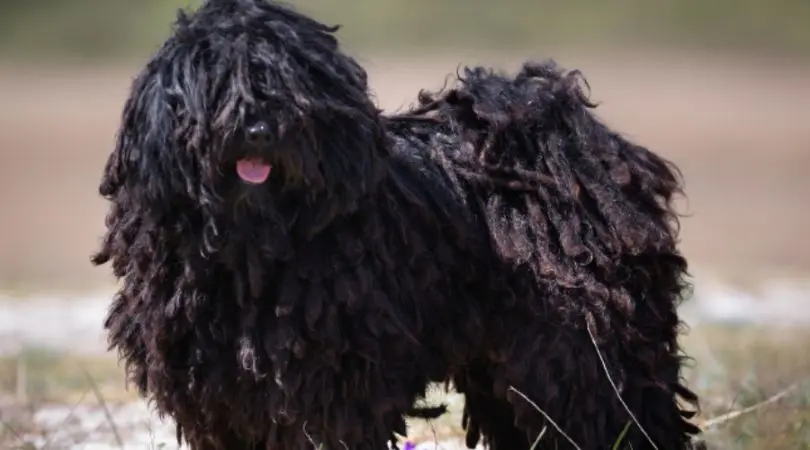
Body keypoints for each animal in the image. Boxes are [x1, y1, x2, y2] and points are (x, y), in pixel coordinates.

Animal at [93, 0, 700, 448]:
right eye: (217, 80)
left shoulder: (334, 385)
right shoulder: (218, 398)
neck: (253, 255)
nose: (259, 129)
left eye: (291, 83)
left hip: (586, 348)